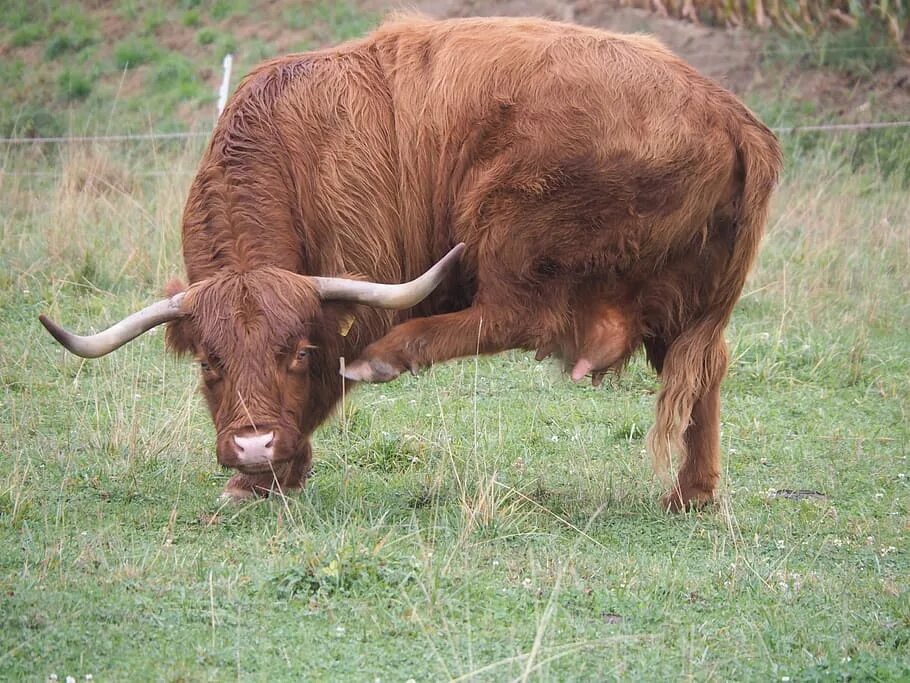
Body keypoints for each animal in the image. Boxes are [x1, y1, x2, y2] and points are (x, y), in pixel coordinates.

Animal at [40, 15, 782, 511]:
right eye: (208, 363)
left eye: (296, 354)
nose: (252, 446)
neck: (290, 153)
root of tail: (731, 112)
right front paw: (258, 476)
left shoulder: (356, 277)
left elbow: (336, 370)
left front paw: (259, 480)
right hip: (682, 298)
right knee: (702, 370)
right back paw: (693, 493)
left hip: (510, 216)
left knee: (517, 314)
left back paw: (391, 355)